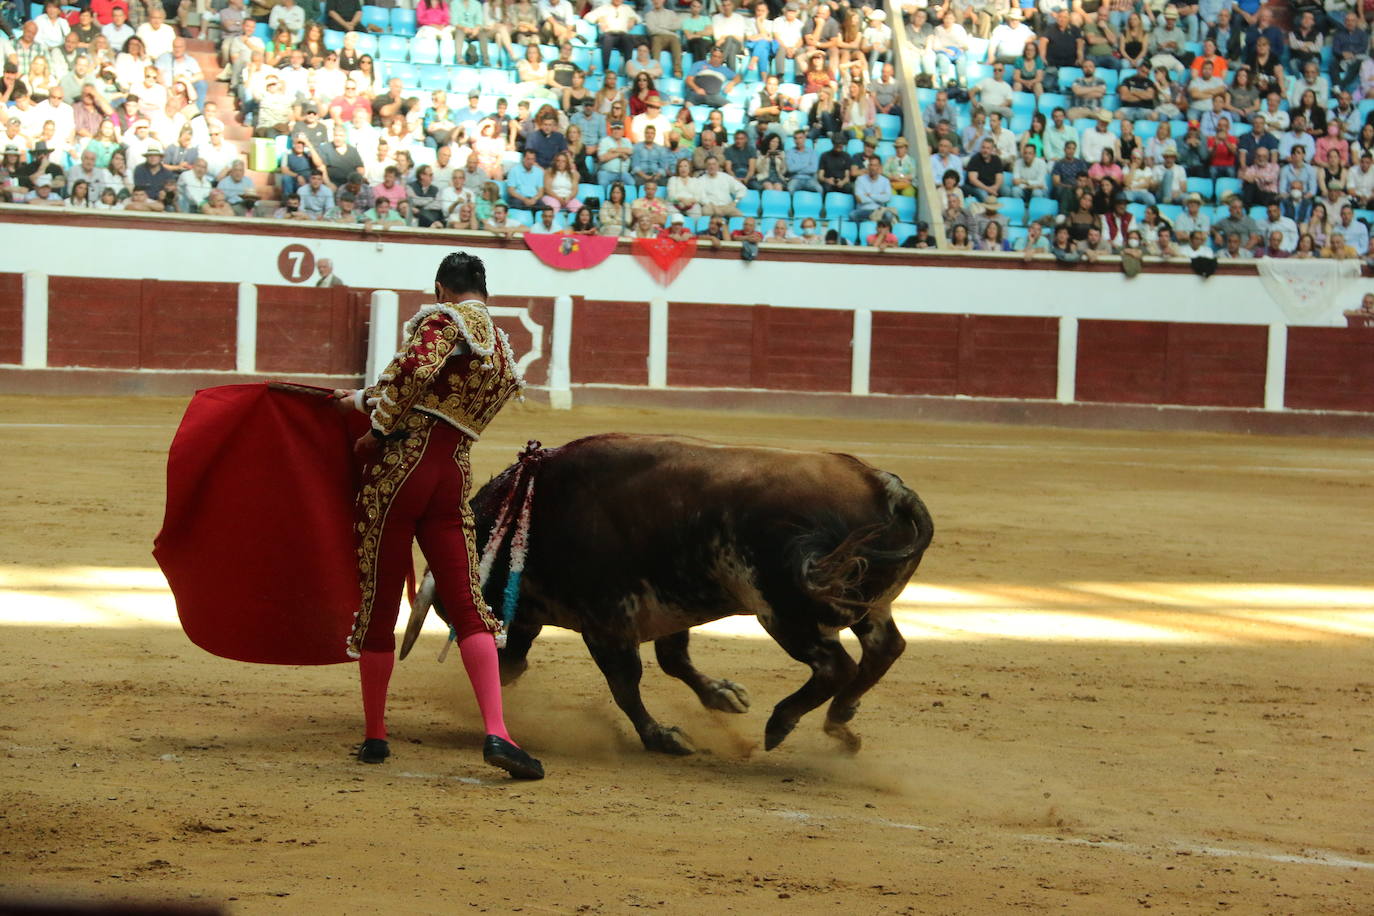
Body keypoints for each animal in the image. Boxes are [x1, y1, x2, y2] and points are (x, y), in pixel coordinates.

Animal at [398, 433, 934, 758]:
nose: (502, 667)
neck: (535, 511)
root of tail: (886, 488)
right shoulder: (665, 609)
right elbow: (675, 661)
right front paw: (723, 696)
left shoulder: (607, 623)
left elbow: (626, 684)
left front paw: (663, 737)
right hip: (866, 604)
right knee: (884, 649)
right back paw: (841, 722)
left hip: (784, 612)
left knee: (834, 665)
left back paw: (782, 723)